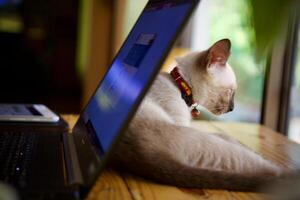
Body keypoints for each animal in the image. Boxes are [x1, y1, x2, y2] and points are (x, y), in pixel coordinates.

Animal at [109, 38, 284, 191]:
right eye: (230, 92)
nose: (232, 108)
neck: (181, 87)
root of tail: (146, 156)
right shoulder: (180, 120)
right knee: (269, 168)